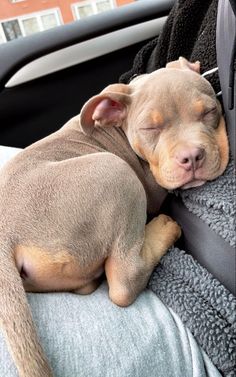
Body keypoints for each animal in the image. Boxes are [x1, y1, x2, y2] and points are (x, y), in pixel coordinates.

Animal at [0, 57, 229, 374]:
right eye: (149, 128)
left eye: (209, 111)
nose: (192, 157)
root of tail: (5, 236)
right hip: (116, 172)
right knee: (124, 280)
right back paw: (163, 228)